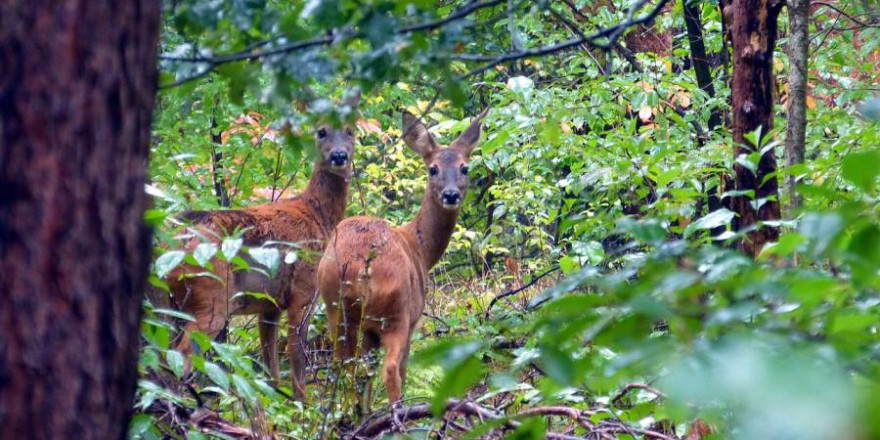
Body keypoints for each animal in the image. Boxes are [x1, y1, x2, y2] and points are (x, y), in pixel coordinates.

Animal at [163, 90, 360, 398]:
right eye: (321, 131)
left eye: (351, 131)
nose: (339, 155)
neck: (318, 216)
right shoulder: (303, 291)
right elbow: (296, 360)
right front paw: (302, 407)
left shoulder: (269, 306)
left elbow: (271, 373)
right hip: (212, 297)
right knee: (181, 357)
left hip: (172, 302)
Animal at [316, 108, 488, 410]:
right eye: (433, 169)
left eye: (464, 167)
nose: (451, 194)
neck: (419, 249)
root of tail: (360, 267)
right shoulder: (412, 318)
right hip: (395, 313)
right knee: (391, 370)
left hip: (335, 310)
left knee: (347, 369)